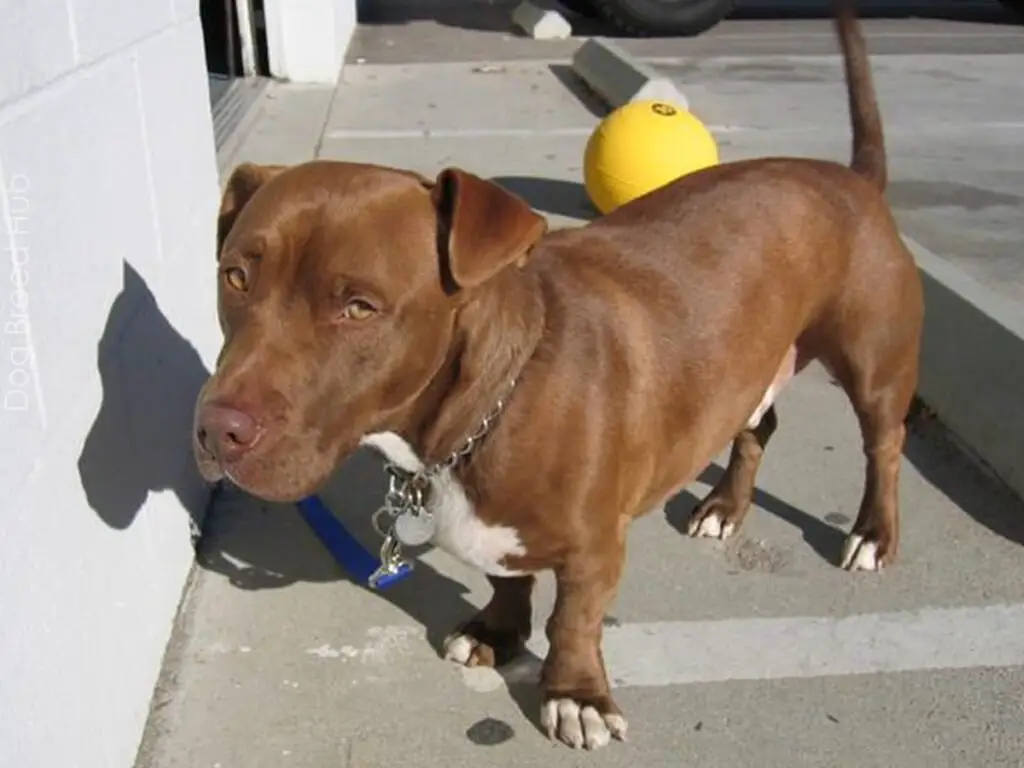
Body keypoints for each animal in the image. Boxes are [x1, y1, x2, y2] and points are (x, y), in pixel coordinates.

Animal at [195, 0, 925, 753]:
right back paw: (726, 506)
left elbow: (573, 619)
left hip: (873, 361)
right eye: (235, 276)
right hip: (751, 363)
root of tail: (850, 176)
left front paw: (575, 694)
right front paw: (498, 630)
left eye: (358, 306)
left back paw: (873, 533)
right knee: (759, 423)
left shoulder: (596, 548)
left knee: (884, 445)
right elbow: (507, 577)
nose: (217, 430)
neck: (486, 409)